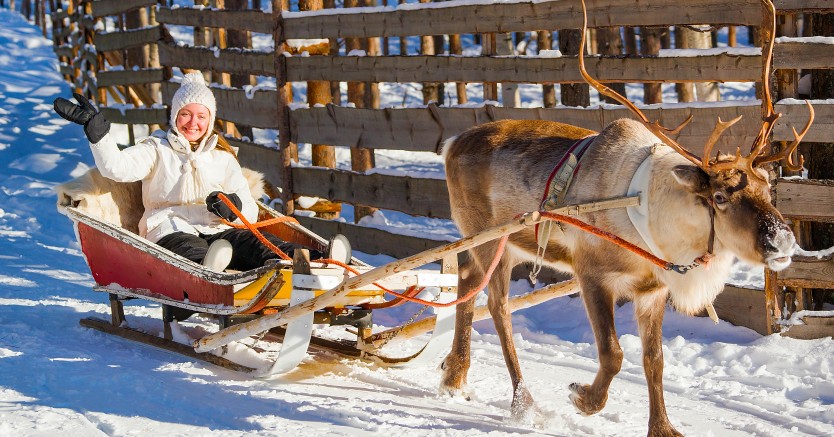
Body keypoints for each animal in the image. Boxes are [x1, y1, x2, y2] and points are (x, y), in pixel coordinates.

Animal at [439, 1, 812, 435]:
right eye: (719, 197)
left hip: (504, 245)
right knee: (498, 305)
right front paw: (583, 398)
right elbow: (613, 352)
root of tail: (451, 145)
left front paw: (662, 427)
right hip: (488, 238)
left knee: (468, 283)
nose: (782, 240)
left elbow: (655, 361)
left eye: (768, 187)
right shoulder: (592, 274)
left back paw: (455, 375)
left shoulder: (653, 290)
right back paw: (522, 402)